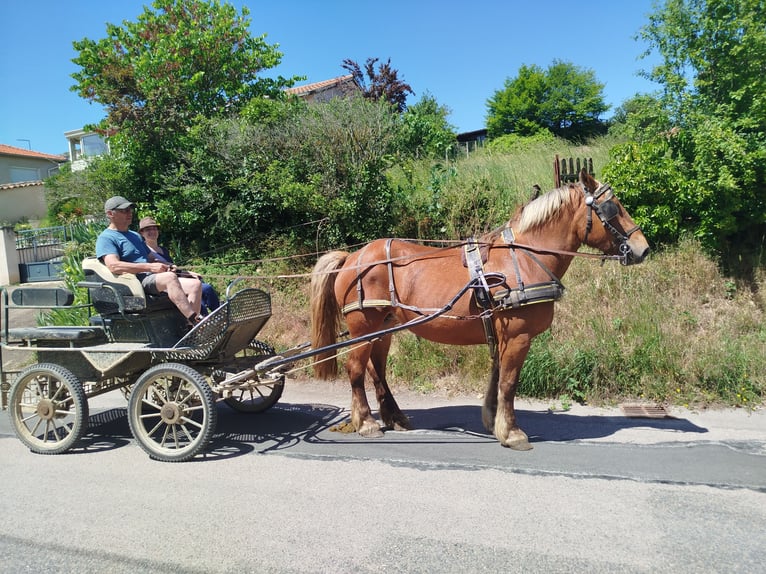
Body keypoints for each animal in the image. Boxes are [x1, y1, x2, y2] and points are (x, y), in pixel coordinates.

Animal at [309, 169, 649, 450]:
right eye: (613, 207)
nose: (643, 249)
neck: (524, 257)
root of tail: (352, 257)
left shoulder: (502, 334)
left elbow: (497, 378)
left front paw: (492, 420)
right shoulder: (518, 335)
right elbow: (509, 382)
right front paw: (512, 433)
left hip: (384, 327)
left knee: (376, 369)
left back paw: (395, 417)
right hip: (364, 326)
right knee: (356, 369)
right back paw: (366, 422)